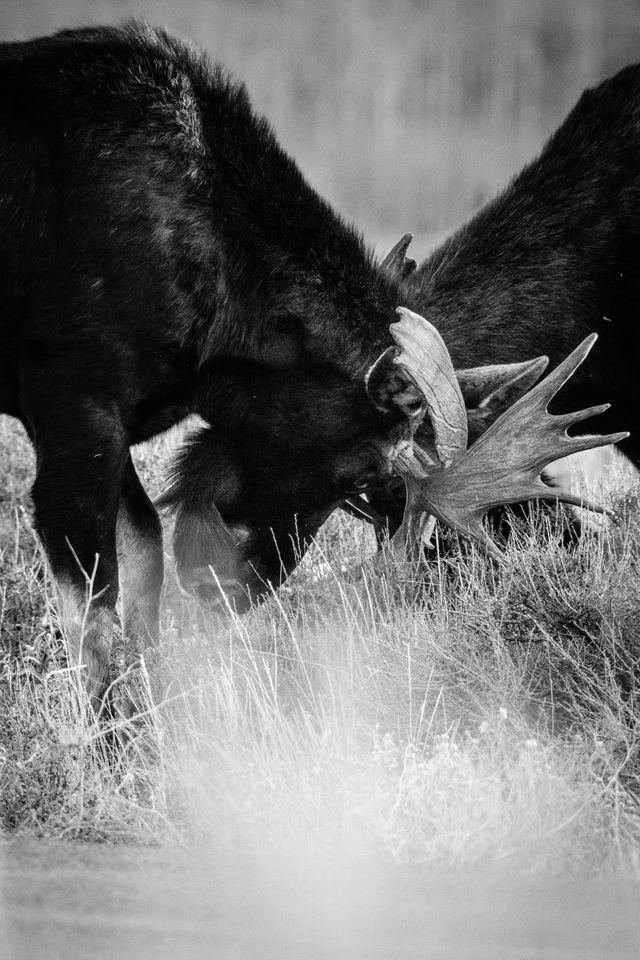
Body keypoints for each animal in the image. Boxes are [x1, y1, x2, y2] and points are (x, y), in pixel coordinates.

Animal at [0, 18, 620, 700]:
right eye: (369, 479)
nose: (224, 588)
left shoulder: (109, 420)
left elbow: (142, 560)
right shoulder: (74, 406)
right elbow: (93, 613)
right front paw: (105, 718)